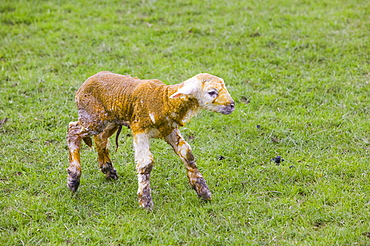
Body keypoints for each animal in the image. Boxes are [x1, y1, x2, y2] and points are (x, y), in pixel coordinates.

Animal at [66, 70, 234, 208]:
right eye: (212, 92)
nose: (232, 105)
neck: (164, 100)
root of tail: (84, 85)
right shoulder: (139, 130)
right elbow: (145, 164)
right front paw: (146, 202)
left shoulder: (169, 130)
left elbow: (187, 155)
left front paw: (203, 191)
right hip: (92, 118)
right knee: (72, 131)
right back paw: (73, 178)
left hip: (111, 120)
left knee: (100, 138)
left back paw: (108, 170)